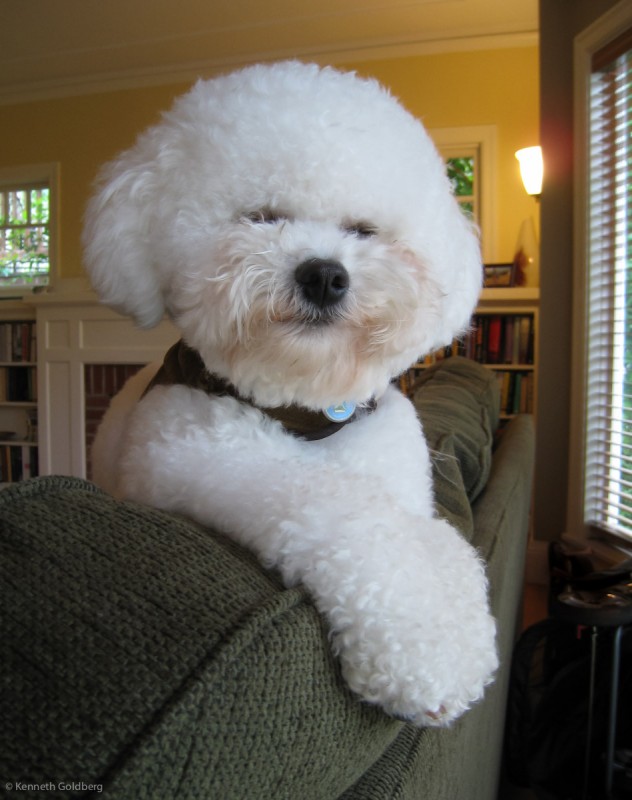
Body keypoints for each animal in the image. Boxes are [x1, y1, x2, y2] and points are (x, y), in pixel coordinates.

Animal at [84, 61, 498, 724]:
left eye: (364, 231)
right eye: (262, 216)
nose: (325, 275)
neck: (307, 407)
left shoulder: (403, 479)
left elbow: (439, 541)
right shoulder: (194, 456)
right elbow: (351, 516)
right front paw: (424, 652)